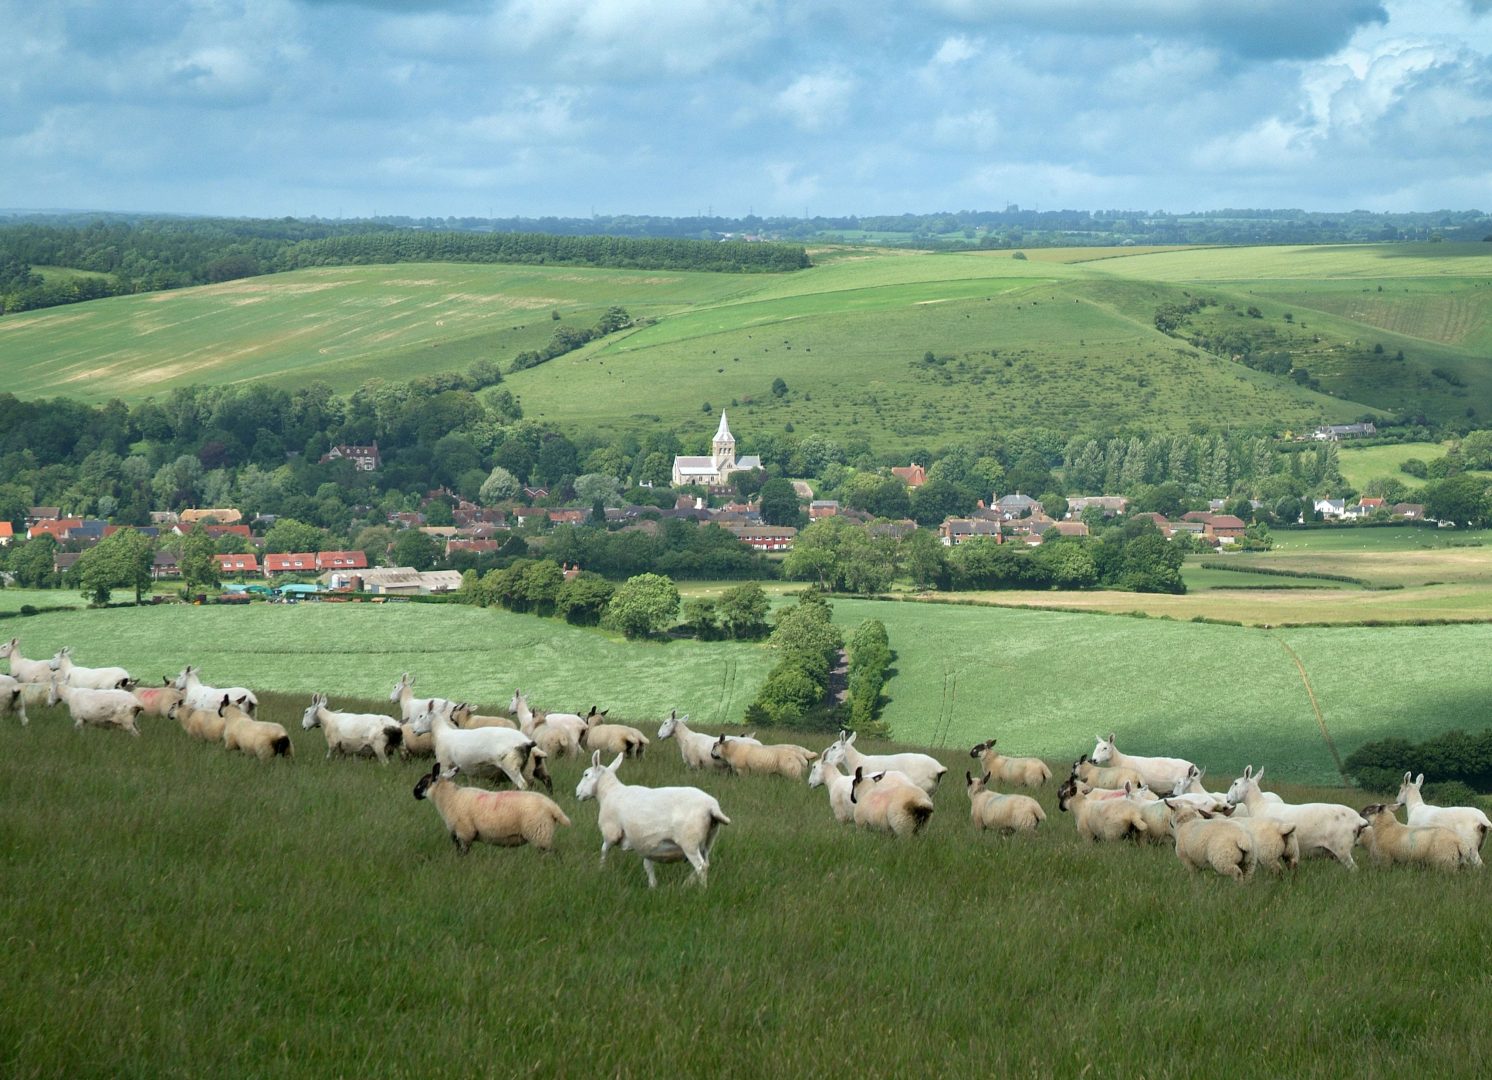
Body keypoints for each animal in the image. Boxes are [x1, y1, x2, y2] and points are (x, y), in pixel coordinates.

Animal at [411, 695, 540, 787]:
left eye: (421, 716)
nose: (413, 730)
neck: (441, 732)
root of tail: (525, 740)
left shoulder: (444, 764)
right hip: (524, 765)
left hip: (510, 765)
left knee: (522, 785)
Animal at [414, 763, 569, 859]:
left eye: (423, 782)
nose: (414, 793)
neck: (449, 798)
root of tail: (553, 806)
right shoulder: (459, 835)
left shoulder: (464, 833)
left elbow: (463, 855)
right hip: (543, 834)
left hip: (540, 833)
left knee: (555, 854)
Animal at [1223, 763, 1366, 871]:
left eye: (1235, 783)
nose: (1228, 799)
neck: (1259, 805)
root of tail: (1359, 819)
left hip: (1342, 848)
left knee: (1355, 870)